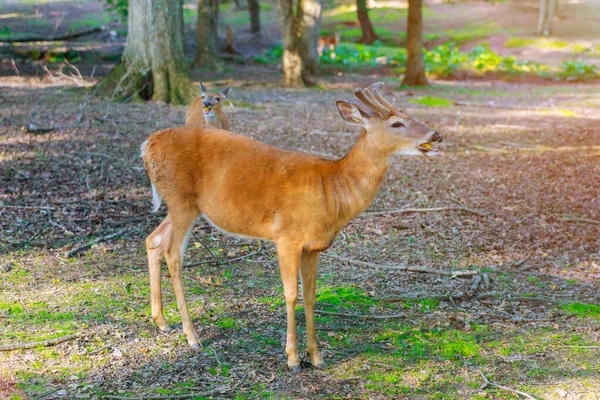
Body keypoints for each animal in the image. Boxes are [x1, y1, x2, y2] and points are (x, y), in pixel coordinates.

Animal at [141, 81, 440, 372]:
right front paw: (293, 359)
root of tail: (146, 145)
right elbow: (291, 295)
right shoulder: (287, 237)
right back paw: (192, 336)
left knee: (153, 240)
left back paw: (162, 321)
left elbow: (310, 296)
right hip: (181, 200)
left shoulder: (313, 246)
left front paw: (317, 357)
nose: (436, 135)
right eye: (397, 124)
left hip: (183, 206)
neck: (332, 189)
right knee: (173, 254)